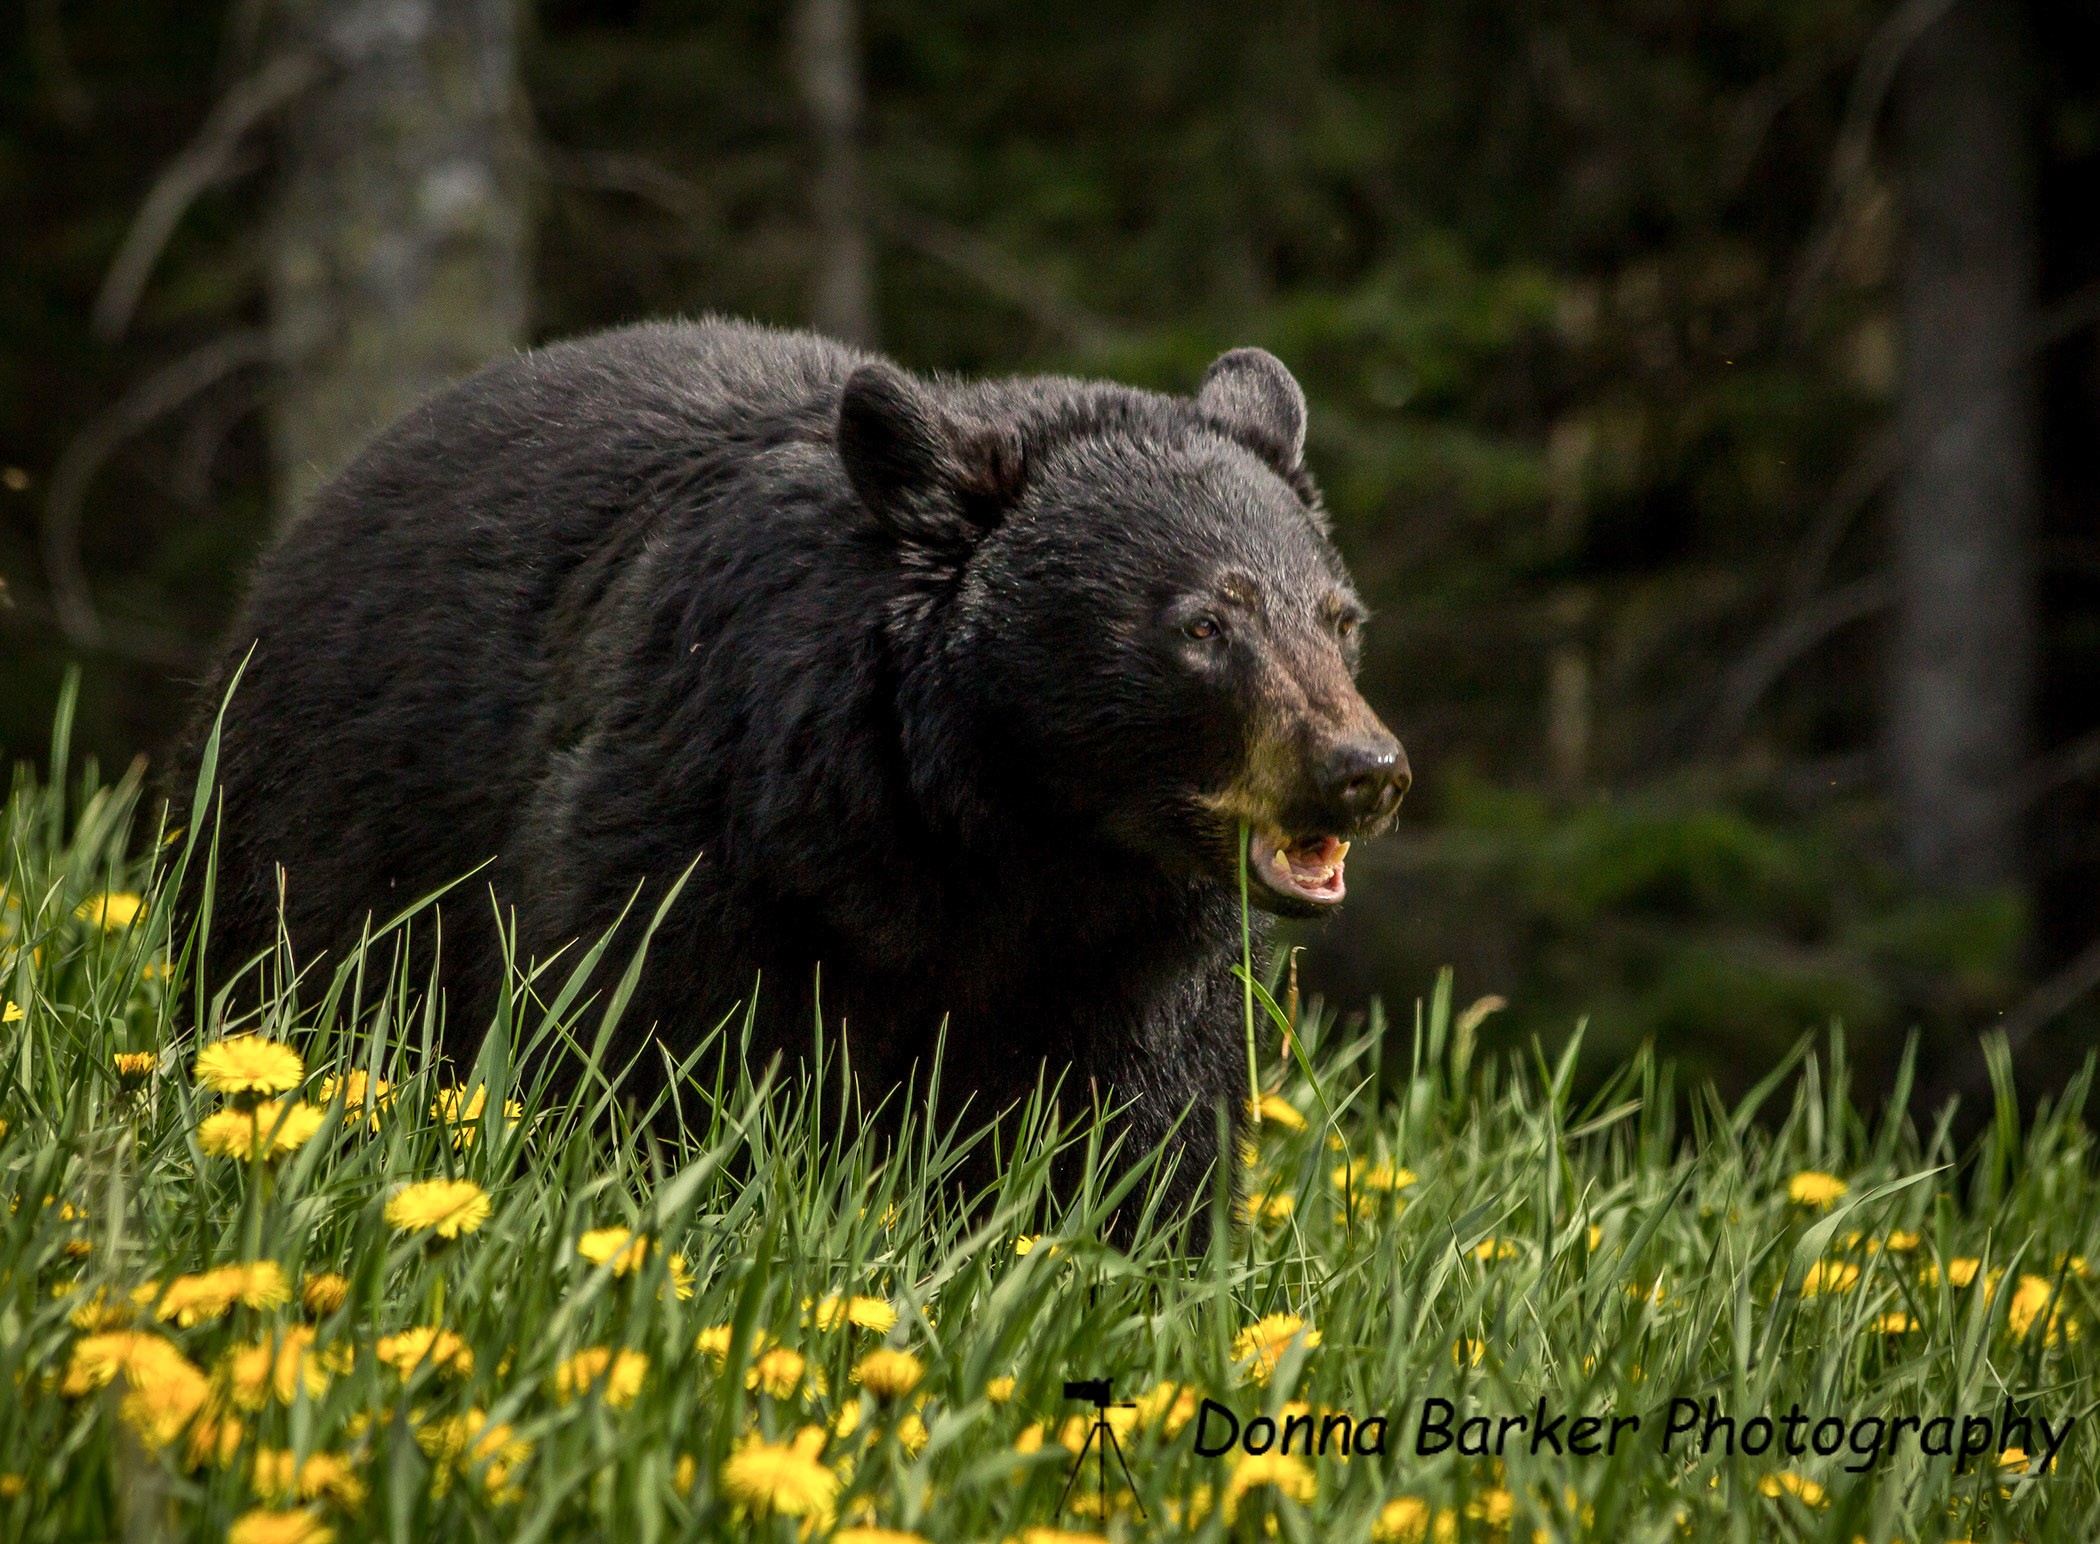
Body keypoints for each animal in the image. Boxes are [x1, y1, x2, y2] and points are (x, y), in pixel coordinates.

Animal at [172, 317, 1409, 1226]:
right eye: (1203, 624)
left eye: (1340, 617)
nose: (1364, 769)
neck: (1003, 836)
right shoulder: (715, 833)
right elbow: (644, 1047)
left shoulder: (1139, 961)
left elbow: (1143, 1130)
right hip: (315, 836)